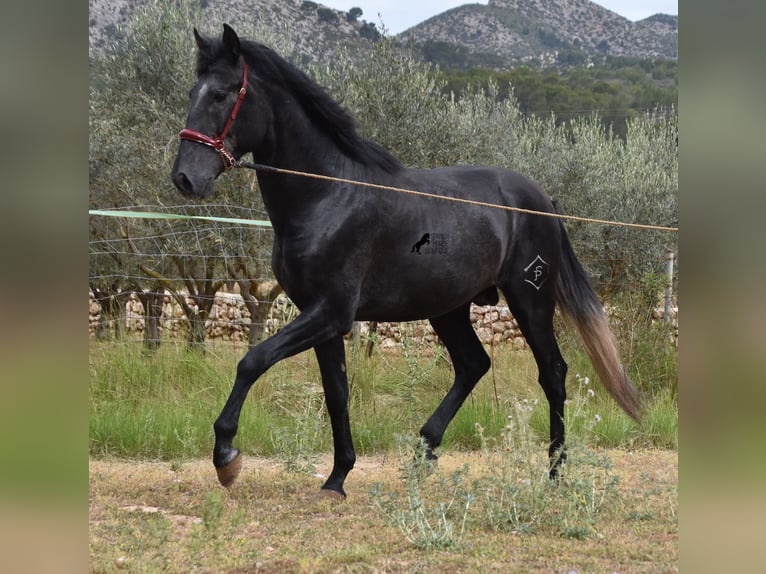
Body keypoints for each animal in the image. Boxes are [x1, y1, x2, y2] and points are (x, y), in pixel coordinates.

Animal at [172, 23, 640, 500]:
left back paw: (555, 472)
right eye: (193, 91)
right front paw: (337, 479)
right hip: (449, 307)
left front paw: (226, 457)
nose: (185, 178)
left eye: (222, 94)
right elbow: (336, 392)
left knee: (553, 373)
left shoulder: (331, 312)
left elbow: (252, 360)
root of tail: (543, 200)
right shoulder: (319, 315)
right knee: (473, 365)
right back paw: (424, 452)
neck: (327, 195)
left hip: (530, 299)